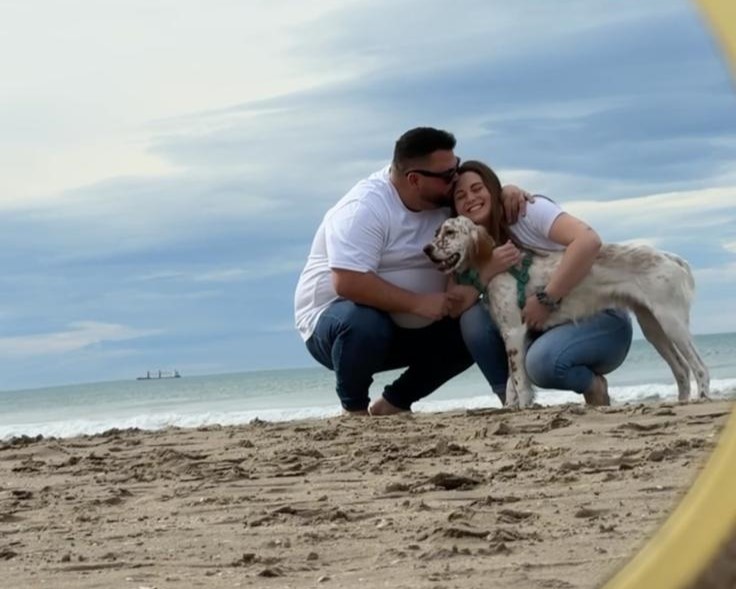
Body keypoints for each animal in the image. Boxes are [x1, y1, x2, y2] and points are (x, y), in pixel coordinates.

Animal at [424, 216, 709, 409]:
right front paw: (511, 408)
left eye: (450, 232)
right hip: (653, 328)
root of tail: (671, 257)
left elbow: (518, 381)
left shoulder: (514, 332)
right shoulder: (514, 334)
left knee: (700, 367)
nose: (426, 249)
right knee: (681, 370)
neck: (498, 267)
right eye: (437, 231)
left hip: (672, 322)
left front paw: (523, 408)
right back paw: (681, 402)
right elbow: (511, 382)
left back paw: (703, 397)